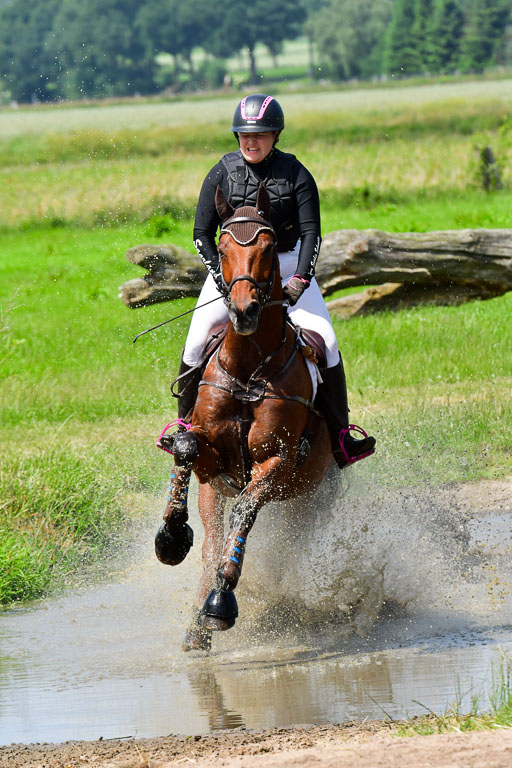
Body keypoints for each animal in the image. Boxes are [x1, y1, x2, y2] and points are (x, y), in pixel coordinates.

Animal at [155, 184, 333, 651]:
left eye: (269, 247)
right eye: (222, 247)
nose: (243, 311)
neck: (249, 368)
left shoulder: (278, 463)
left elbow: (246, 511)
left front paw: (222, 600)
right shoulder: (212, 460)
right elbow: (186, 447)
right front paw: (171, 537)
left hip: (309, 498)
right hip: (214, 491)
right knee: (211, 542)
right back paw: (195, 626)